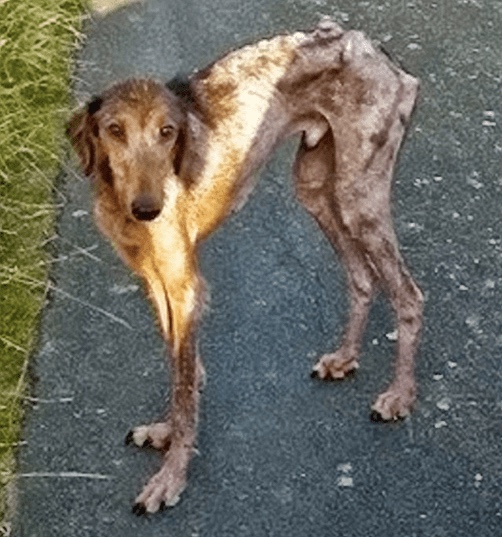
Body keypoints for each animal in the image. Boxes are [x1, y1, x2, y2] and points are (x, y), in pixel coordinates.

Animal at [67, 18, 424, 516]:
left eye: (168, 131)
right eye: (114, 130)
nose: (149, 209)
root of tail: (374, 49)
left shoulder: (184, 285)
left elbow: (184, 387)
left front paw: (170, 477)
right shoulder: (156, 281)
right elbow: (181, 370)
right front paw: (165, 432)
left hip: (360, 197)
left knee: (409, 295)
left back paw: (400, 396)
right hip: (315, 186)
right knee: (361, 276)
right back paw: (345, 358)